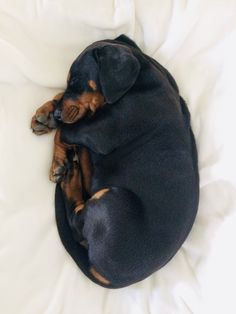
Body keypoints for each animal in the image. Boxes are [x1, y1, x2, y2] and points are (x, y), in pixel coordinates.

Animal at [30, 35, 199, 290]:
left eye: (77, 81)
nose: (57, 115)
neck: (139, 81)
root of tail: (113, 278)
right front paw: (47, 113)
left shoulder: (99, 133)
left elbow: (65, 131)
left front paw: (57, 152)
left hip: (111, 200)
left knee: (77, 223)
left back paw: (70, 178)